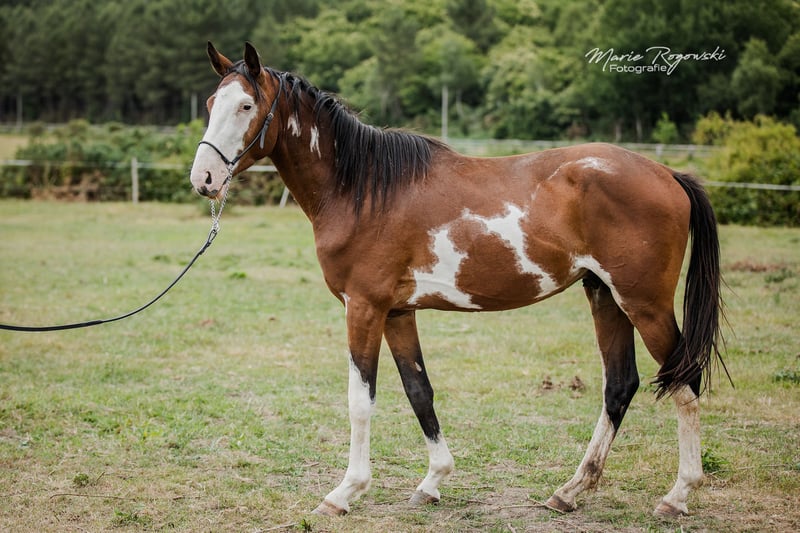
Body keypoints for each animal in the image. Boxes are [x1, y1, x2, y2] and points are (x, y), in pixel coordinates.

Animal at [189, 42, 725, 518]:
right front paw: (432, 481)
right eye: (212, 103)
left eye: (245, 105)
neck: (363, 189)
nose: (204, 179)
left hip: (644, 303)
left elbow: (361, 401)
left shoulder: (363, 307)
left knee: (684, 380)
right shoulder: (397, 312)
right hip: (605, 295)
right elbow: (419, 391)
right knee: (620, 385)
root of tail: (669, 175)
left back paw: (677, 495)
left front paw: (344, 492)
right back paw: (570, 491)